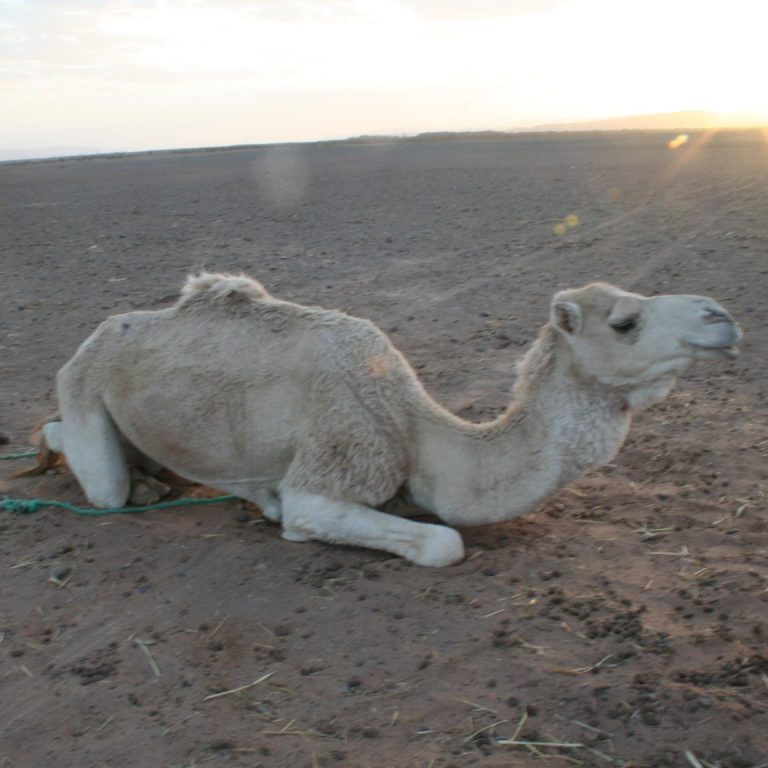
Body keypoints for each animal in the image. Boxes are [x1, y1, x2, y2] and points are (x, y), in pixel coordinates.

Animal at [37, 272, 741, 566]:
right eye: (624, 321)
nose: (722, 316)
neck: (417, 431)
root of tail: (94, 336)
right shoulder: (331, 472)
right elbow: (444, 542)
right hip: (83, 382)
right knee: (102, 481)